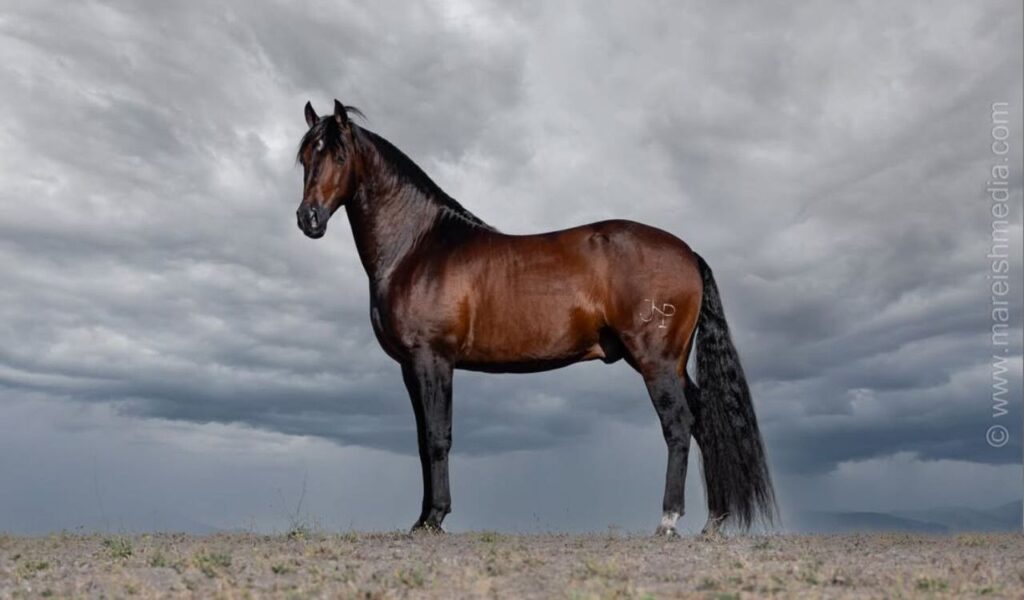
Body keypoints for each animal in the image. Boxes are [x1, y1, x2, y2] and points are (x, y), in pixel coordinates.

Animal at [294, 99, 775, 536]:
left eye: (338, 155)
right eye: (304, 158)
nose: (308, 219)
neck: (417, 246)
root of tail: (689, 253)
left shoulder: (433, 360)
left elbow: (437, 437)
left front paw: (435, 519)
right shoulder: (410, 368)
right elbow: (420, 439)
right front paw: (421, 518)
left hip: (655, 362)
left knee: (679, 426)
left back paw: (668, 521)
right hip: (673, 364)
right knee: (705, 423)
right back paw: (714, 522)